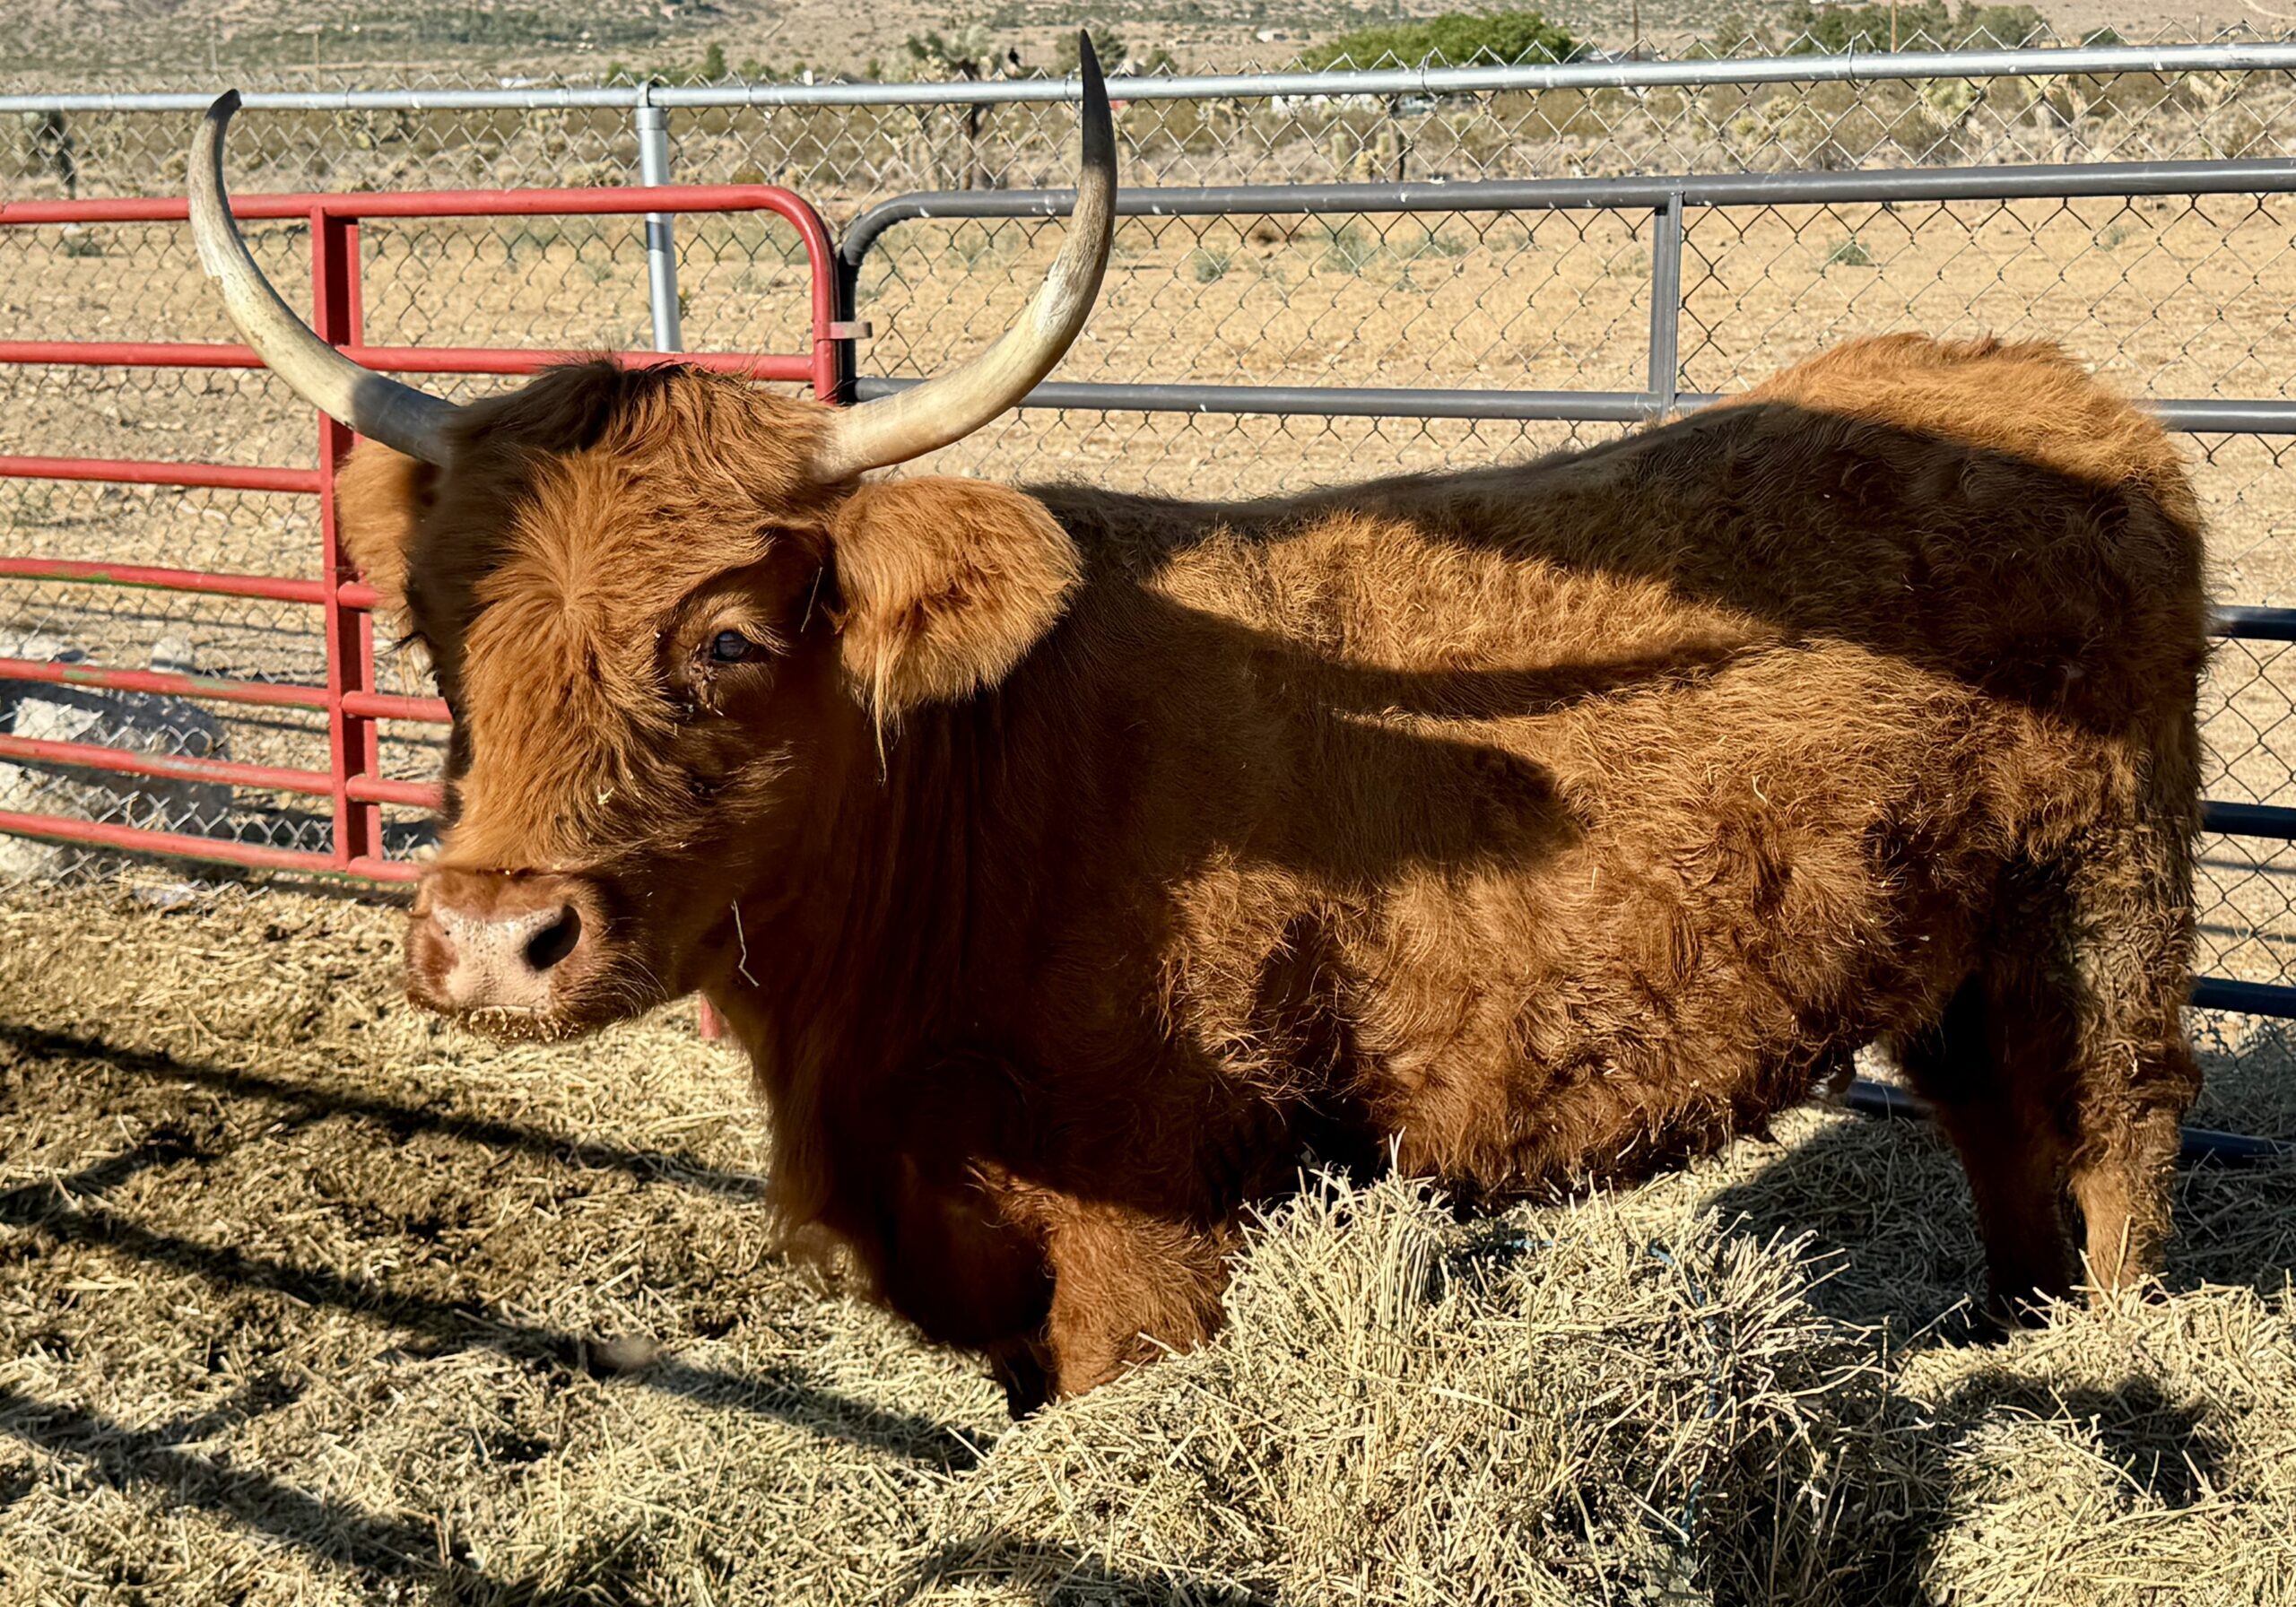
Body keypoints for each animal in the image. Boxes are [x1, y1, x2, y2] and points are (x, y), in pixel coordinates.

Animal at [189, 42, 2207, 1413]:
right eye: (436, 634)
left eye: (735, 635)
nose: (486, 939)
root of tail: (2041, 386)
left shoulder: (1151, 1234)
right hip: (1950, 947)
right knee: (2000, 1140)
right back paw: (1998, 1343)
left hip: (2102, 909)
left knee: (2110, 1141)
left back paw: (2107, 1377)